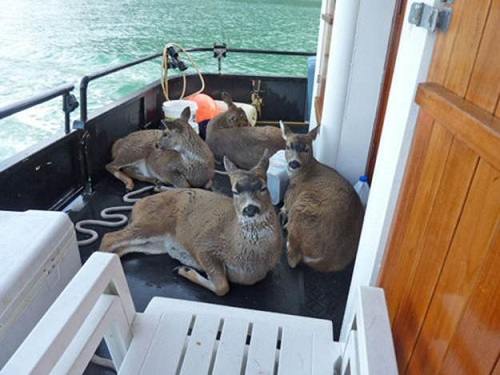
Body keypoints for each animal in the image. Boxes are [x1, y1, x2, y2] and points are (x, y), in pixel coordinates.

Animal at [99, 151, 284, 296]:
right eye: (235, 191)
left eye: (263, 187)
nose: (250, 209)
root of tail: (137, 204)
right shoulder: (203, 245)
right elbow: (223, 287)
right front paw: (186, 270)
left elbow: (222, 285)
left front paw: (185, 268)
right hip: (152, 222)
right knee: (109, 237)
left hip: (156, 244)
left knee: (122, 248)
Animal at [278, 122, 364, 272]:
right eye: (288, 146)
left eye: (306, 149)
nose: (294, 163)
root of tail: (326, 260)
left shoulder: (291, 194)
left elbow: (285, 204)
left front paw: (282, 211)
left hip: (302, 206)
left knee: (293, 258)